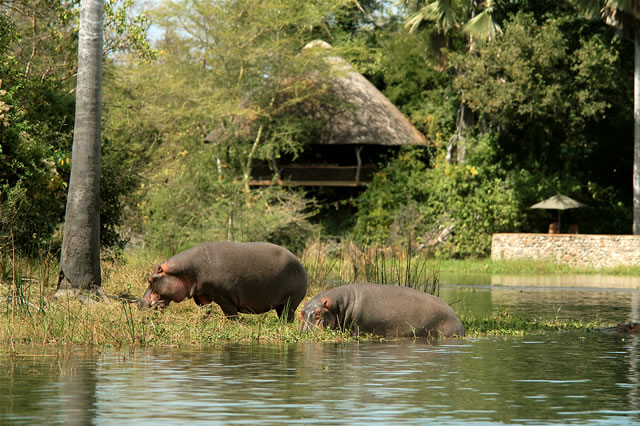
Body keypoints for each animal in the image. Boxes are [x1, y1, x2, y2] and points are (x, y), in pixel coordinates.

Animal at [139, 241, 308, 322]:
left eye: (150, 280)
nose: (140, 303)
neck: (188, 270)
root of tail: (299, 262)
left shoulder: (223, 296)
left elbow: (230, 312)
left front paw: (235, 324)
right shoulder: (202, 295)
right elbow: (205, 309)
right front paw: (205, 321)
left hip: (291, 301)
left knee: (287, 315)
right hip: (281, 303)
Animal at [300, 282, 464, 340]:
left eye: (318, 313)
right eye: (301, 313)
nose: (306, 332)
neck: (339, 305)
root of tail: (456, 317)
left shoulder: (358, 326)